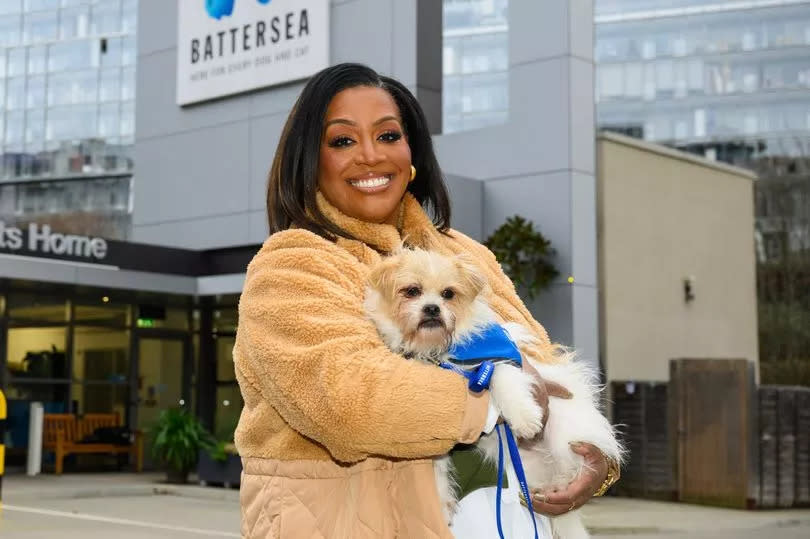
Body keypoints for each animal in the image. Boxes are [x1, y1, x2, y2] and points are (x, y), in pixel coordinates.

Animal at [362, 249, 620, 539]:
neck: (437, 350)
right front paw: (441, 502)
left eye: (448, 294)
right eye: (412, 291)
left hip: (563, 435)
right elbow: (436, 464)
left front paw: (525, 418)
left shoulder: (498, 362)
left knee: (574, 468)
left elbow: (503, 380)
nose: (432, 308)